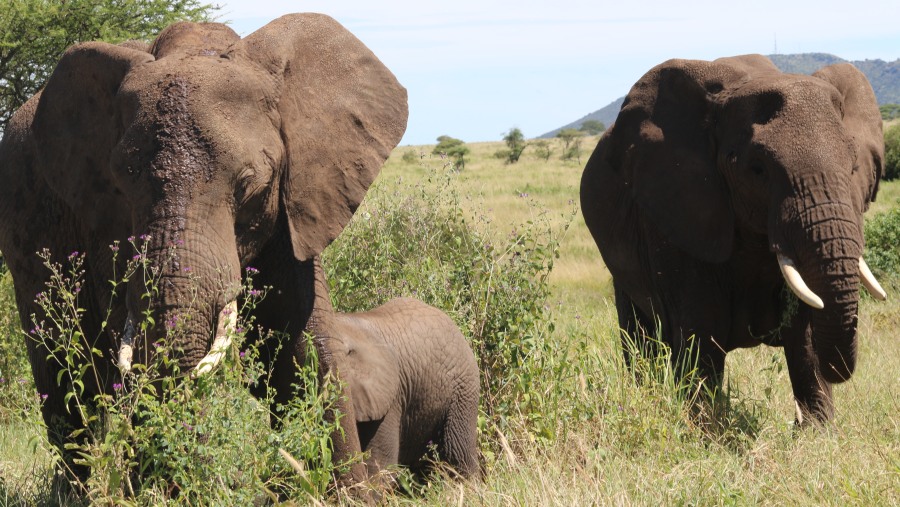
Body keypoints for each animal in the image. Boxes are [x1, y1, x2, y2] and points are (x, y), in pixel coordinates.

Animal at [0, 13, 408, 486]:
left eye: (250, 183)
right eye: (121, 182)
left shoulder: (297, 199)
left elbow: (304, 338)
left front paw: (345, 490)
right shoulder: (102, 222)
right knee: (64, 368)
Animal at [584, 54, 884, 424]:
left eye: (854, 166)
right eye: (758, 169)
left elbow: (808, 332)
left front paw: (815, 431)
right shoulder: (676, 214)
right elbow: (702, 332)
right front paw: (705, 427)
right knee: (641, 337)